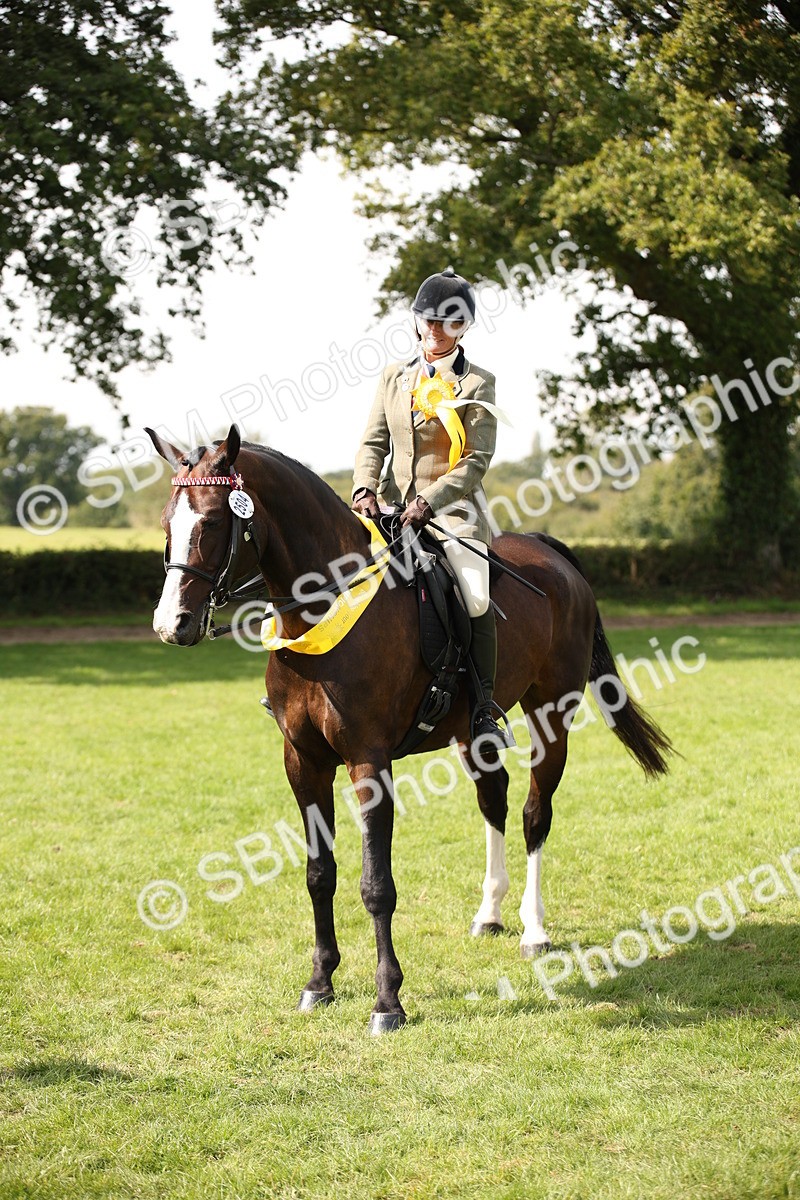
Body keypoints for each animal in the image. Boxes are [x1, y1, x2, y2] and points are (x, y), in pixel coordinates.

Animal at [147, 424, 672, 1033]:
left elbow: (376, 885)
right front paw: (319, 982)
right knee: (493, 800)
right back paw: (490, 914)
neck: (326, 609)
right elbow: (319, 873)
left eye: (211, 522)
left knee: (534, 814)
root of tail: (549, 553)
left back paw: (534, 929)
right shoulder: (303, 761)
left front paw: (387, 1002)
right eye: (167, 523)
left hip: (552, 716)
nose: (172, 625)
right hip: (474, 731)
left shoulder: (369, 763)